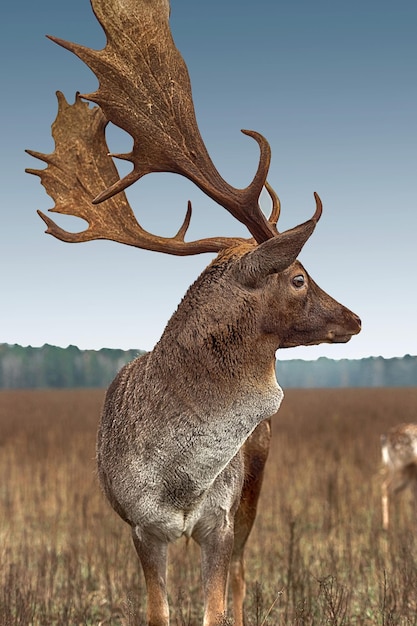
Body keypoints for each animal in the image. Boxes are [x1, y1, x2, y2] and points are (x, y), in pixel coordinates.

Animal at [24, 1, 360, 624]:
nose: (354, 319)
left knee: (245, 578)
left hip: (255, 485)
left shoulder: (219, 523)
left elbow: (217, 608)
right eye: (299, 276)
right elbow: (159, 611)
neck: (178, 478)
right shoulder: (139, 527)